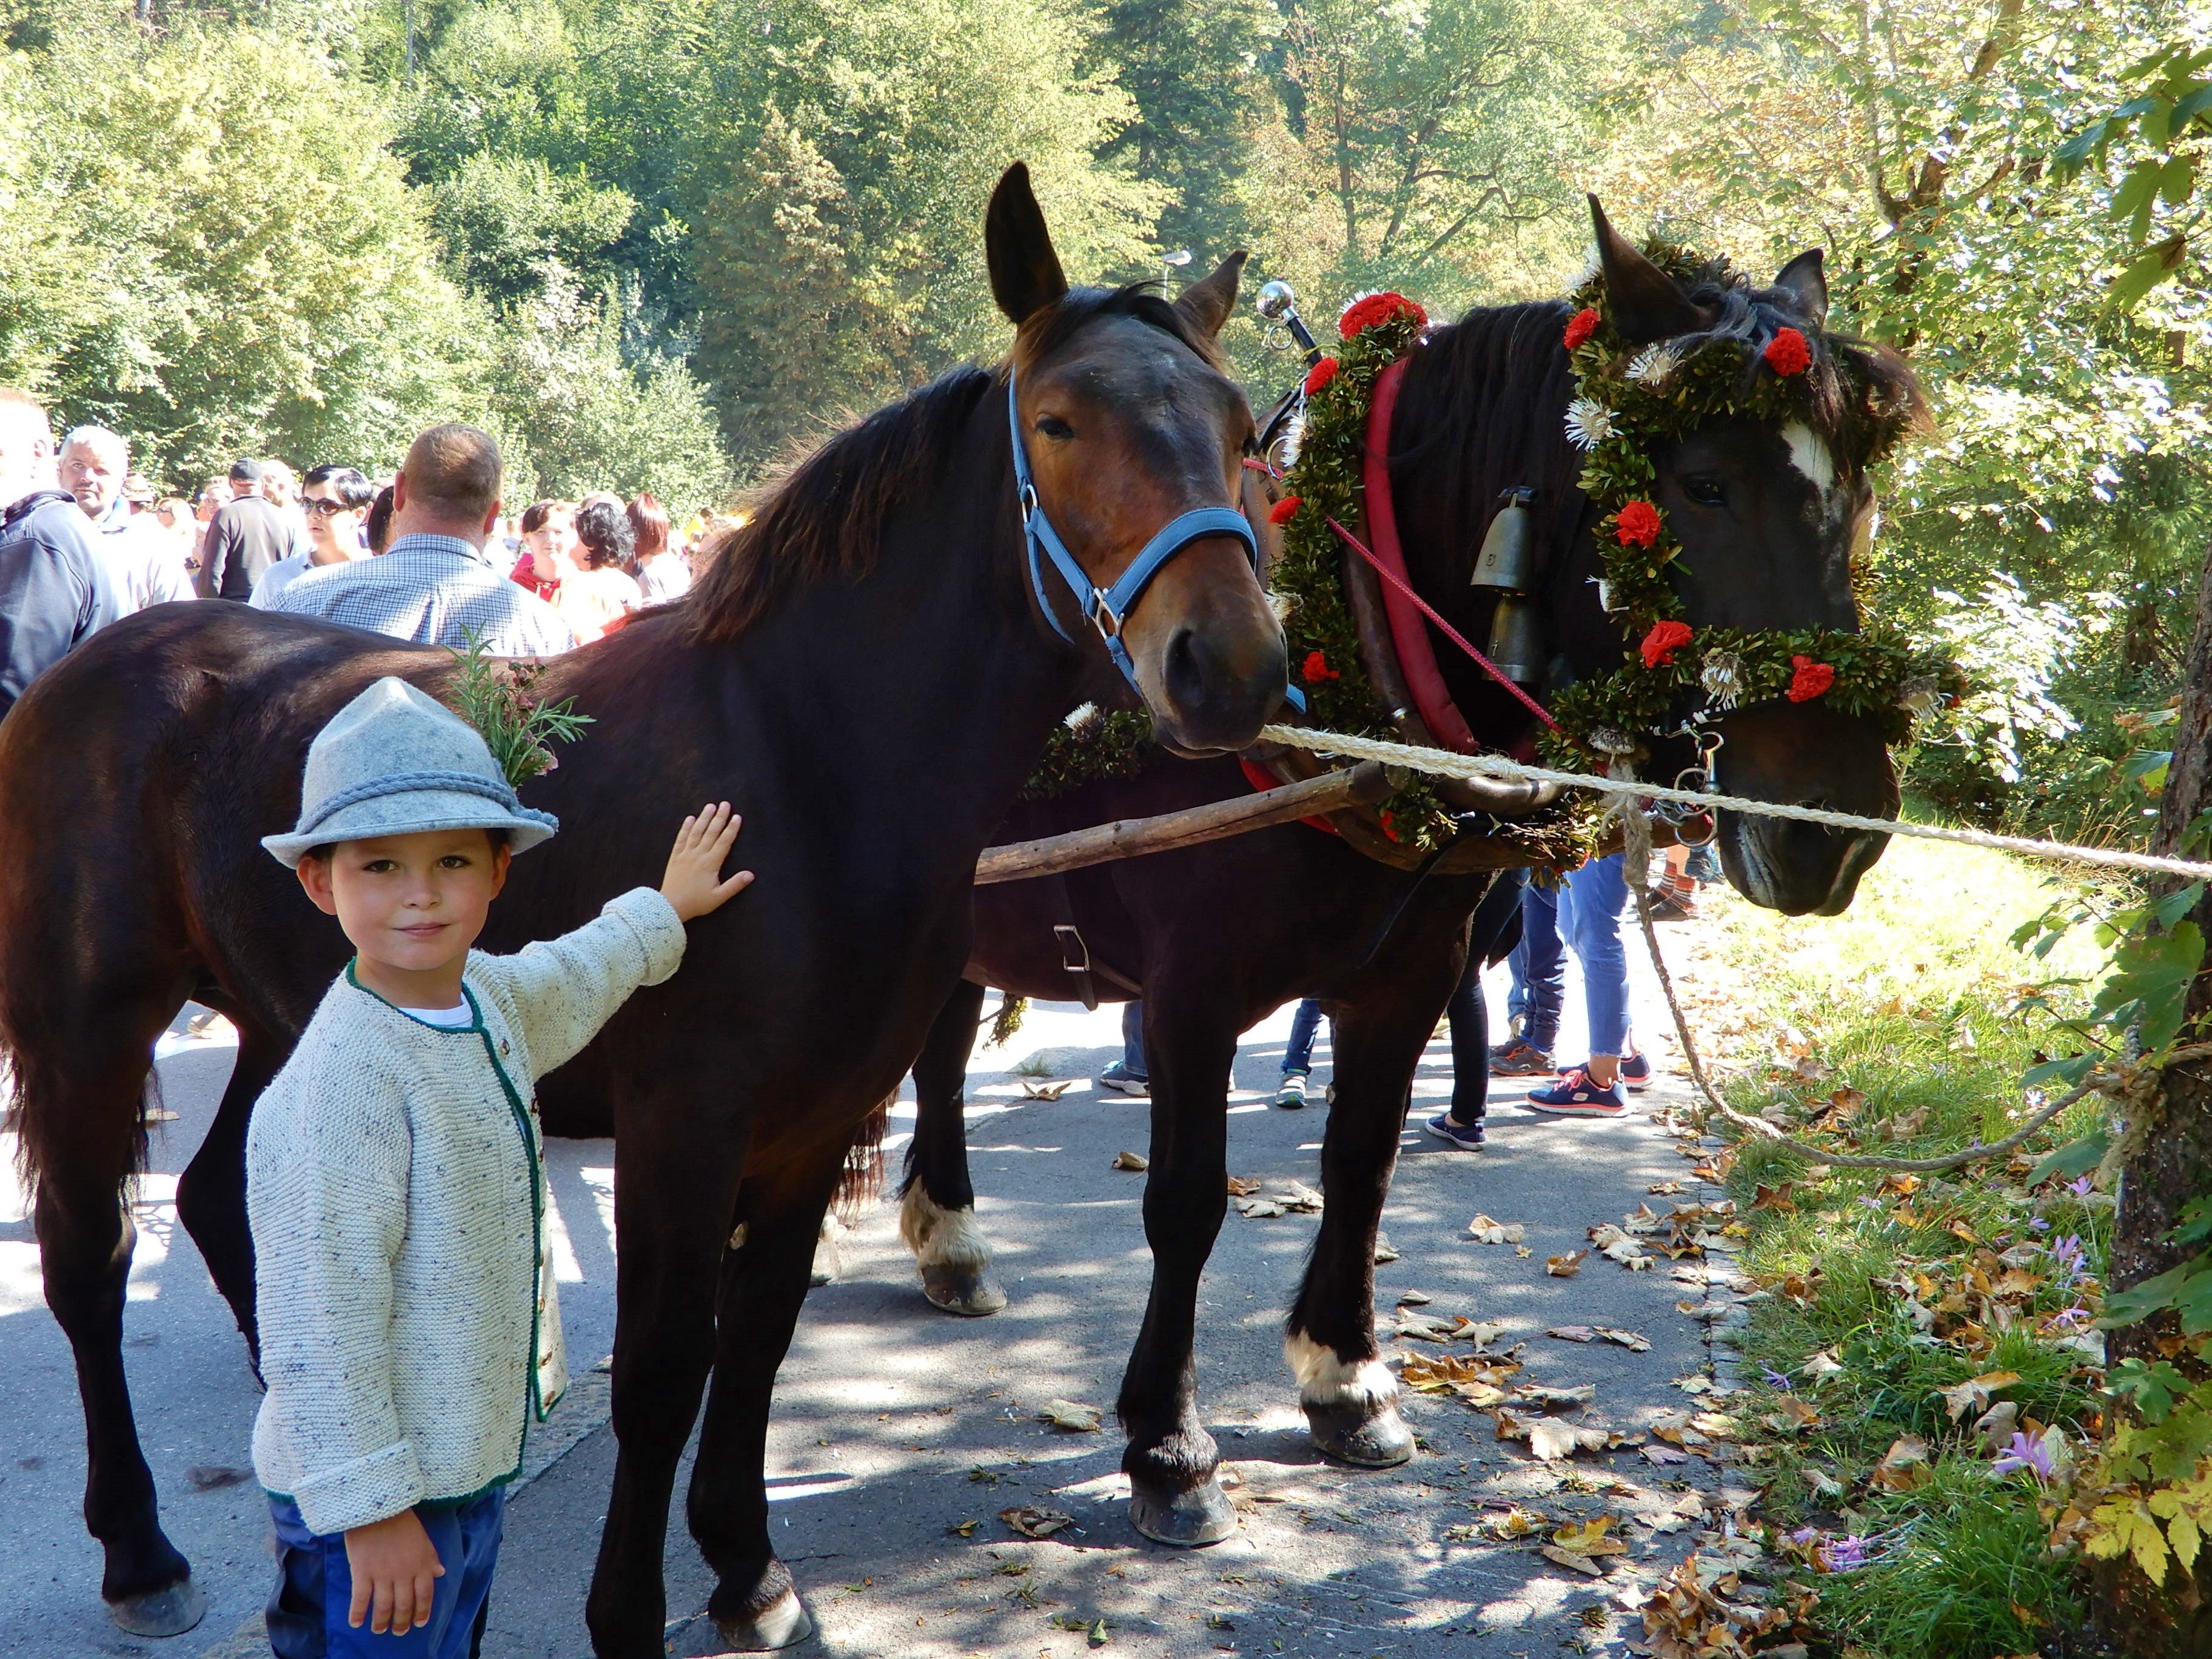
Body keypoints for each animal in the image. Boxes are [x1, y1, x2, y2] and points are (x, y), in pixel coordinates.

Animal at [0, 166, 1282, 1654]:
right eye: (1062, 421)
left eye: (1240, 428)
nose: (1229, 665)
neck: (804, 758)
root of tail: (90, 662)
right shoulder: (688, 1124)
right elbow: (666, 1369)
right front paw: (635, 1605)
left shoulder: (815, 1118)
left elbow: (763, 1334)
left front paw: (747, 1566)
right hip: (90, 1024)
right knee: (90, 1258)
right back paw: (140, 1548)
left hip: (287, 1014)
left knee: (221, 1204)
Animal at [889, 204, 1929, 1548]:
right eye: (1701, 483)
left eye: (1859, 493)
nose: (1834, 824)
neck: (1333, 655)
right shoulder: (1188, 993)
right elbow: (1186, 1202)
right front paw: (1169, 1446)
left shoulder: (1407, 979)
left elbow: (1361, 1167)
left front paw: (1346, 1379)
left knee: (940, 1048)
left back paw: (950, 1237)